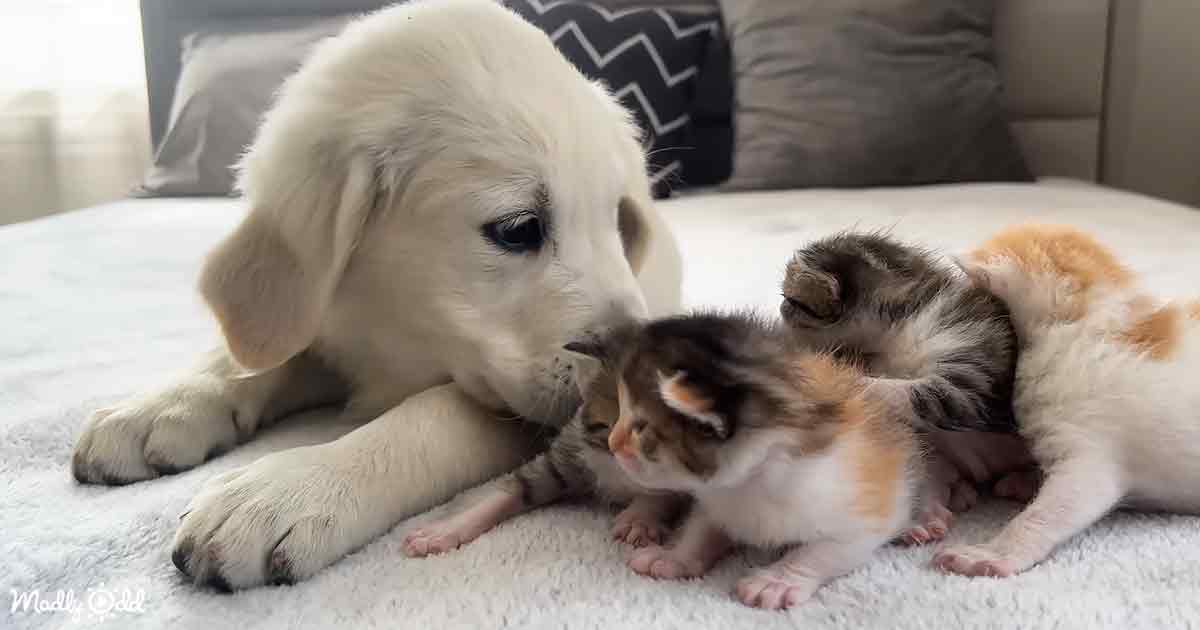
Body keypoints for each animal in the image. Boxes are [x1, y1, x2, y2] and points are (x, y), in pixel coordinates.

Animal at [405, 345, 681, 556]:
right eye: (610, 424)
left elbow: (666, 492)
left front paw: (640, 518)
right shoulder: (567, 453)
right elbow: (508, 492)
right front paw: (445, 530)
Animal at [604, 312, 921, 607]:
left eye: (641, 427)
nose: (611, 443)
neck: (750, 483)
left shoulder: (866, 510)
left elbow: (820, 552)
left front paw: (777, 581)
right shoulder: (718, 499)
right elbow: (701, 527)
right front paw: (675, 557)